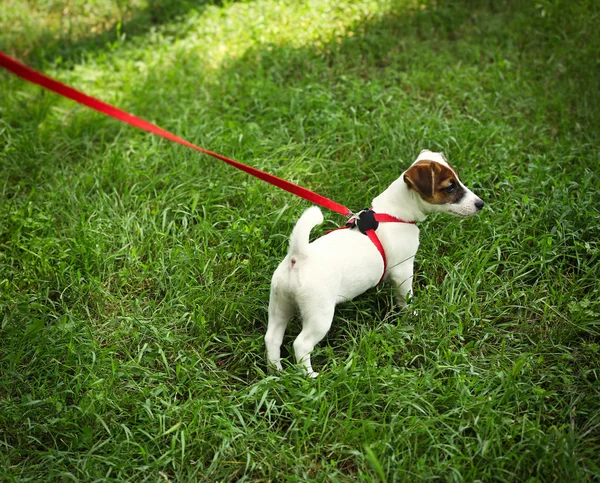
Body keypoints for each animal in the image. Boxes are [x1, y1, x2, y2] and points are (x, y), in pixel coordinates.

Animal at [264, 149, 486, 376]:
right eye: (450, 187)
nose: (480, 204)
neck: (394, 214)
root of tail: (298, 257)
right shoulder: (403, 271)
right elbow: (406, 297)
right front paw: (412, 314)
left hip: (280, 303)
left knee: (272, 338)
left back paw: (276, 370)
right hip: (319, 314)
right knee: (301, 344)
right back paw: (310, 376)